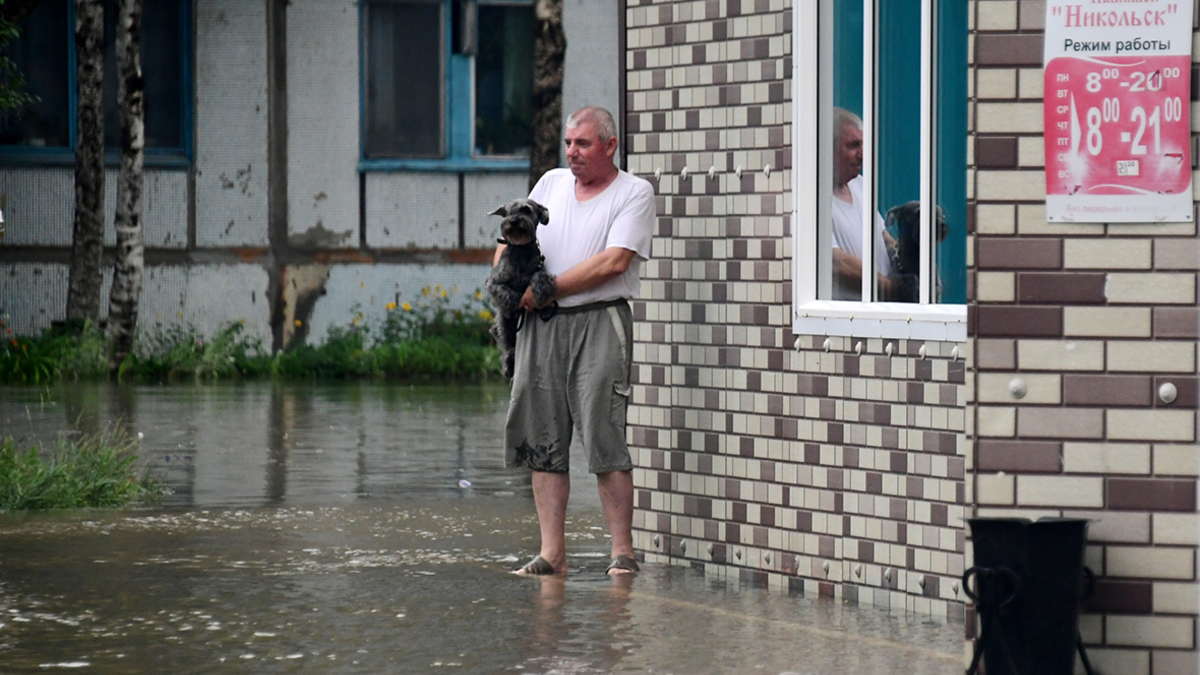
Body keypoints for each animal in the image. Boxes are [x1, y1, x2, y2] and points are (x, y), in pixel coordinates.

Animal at [482, 198, 556, 379]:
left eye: (526, 210)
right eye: (508, 212)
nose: (513, 221)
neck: (521, 250)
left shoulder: (539, 268)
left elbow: (540, 276)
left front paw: (541, 291)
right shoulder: (492, 281)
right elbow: (504, 292)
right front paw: (515, 301)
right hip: (502, 326)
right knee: (507, 347)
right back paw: (508, 365)